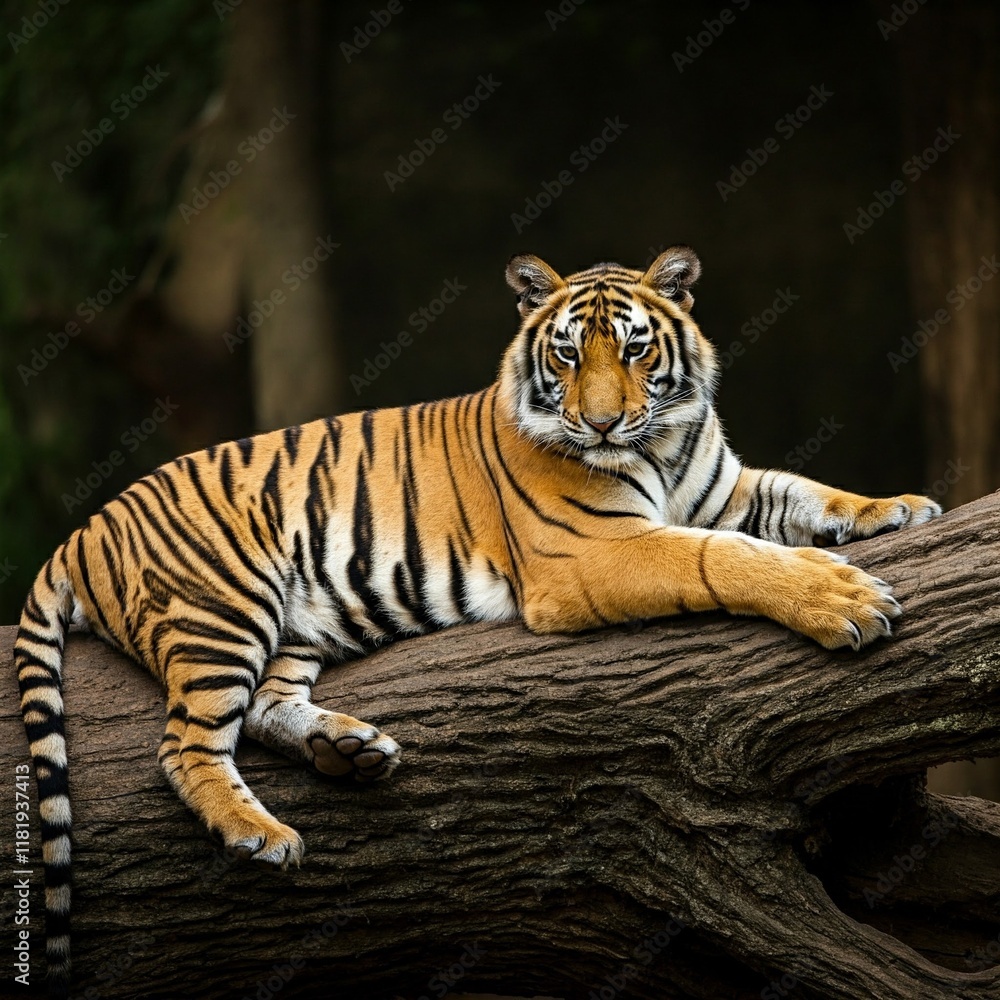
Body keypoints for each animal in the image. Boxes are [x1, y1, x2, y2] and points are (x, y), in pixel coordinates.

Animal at [16, 245, 941, 990]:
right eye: (566, 354)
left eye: (635, 348)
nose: (601, 422)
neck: (664, 444)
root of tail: (81, 529)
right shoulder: (592, 554)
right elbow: (718, 557)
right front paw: (846, 600)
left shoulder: (723, 489)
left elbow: (803, 490)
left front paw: (898, 507)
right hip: (225, 608)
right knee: (184, 745)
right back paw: (261, 834)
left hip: (298, 628)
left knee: (268, 708)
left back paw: (349, 750)